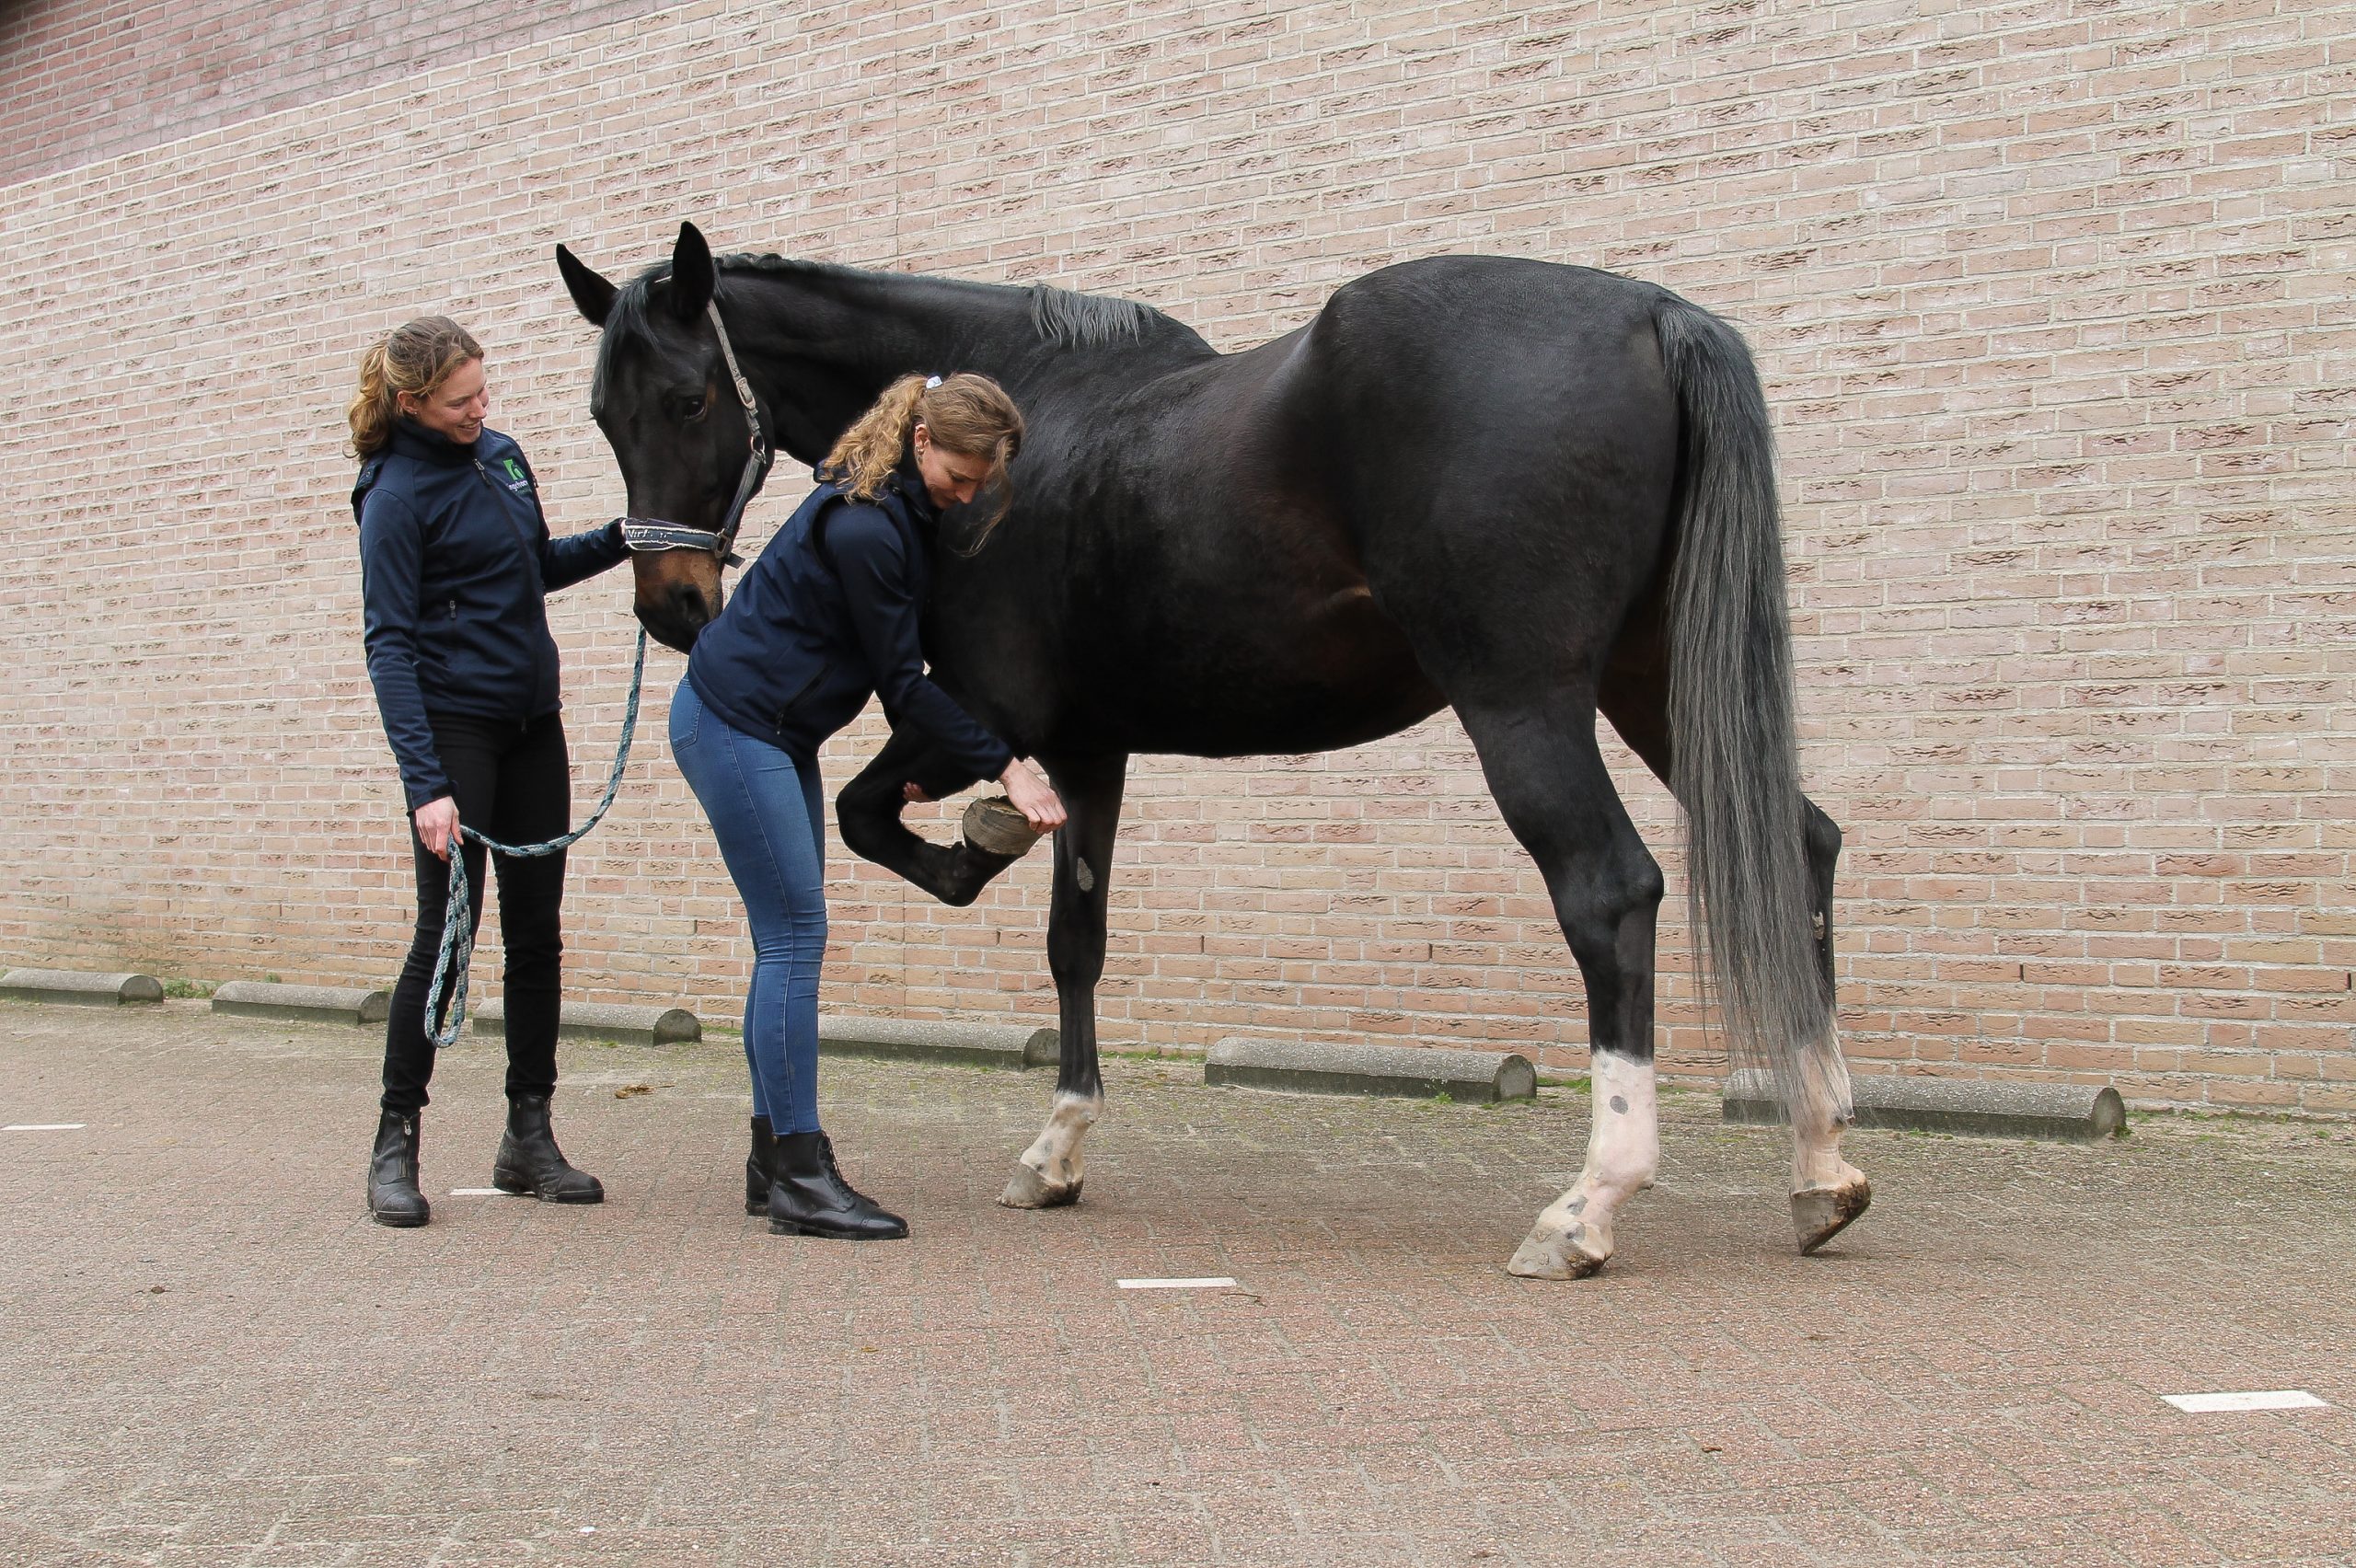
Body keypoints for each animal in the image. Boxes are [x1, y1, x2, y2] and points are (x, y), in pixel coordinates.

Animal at [555, 221, 1870, 1278]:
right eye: (603, 415)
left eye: (688, 400)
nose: (672, 608)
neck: (1024, 410)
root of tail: (1654, 315)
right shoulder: (1089, 751)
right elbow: (1074, 940)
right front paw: (1057, 1149)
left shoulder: (987, 711)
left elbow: (870, 816)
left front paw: (975, 845)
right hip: (1655, 687)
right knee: (1799, 847)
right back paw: (1818, 1169)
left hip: (1523, 700)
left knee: (1608, 891)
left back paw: (1585, 1209)